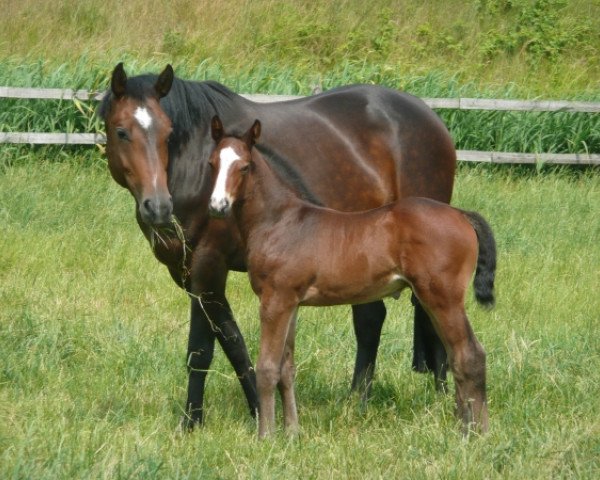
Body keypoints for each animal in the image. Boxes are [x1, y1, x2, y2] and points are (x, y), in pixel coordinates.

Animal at [97, 62, 454, 428]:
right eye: (121, 132)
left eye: (168, 133)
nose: (158, 207)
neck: (193, 173)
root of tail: (429, 115)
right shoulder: (186, 272)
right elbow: (231, 342)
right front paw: (253, 408)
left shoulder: (208, 264)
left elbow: (204, 349)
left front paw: (195, 421)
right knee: (371, 319)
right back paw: (357, 401)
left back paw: (440, 396)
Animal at [207, 117, 496, 438]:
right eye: (212, 164)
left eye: (244, 167)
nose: (217, 206)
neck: (279, 221)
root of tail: (461, 214)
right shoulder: (290, 303)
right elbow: (287, 368)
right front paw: (292, 432)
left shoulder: (274, 300)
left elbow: (268, 368)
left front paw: (266, 436)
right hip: (433, 299)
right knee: (457, 354)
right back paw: (463, 425)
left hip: (443, 297)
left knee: (471, 354)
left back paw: (478, 433)